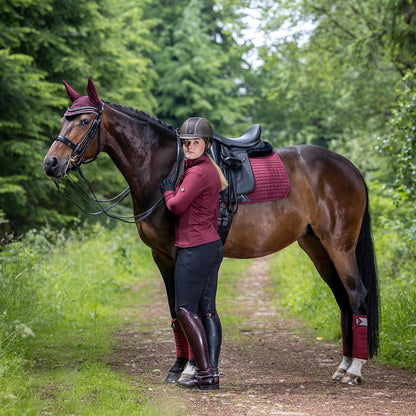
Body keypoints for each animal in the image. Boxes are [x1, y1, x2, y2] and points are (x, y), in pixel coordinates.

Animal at [44, 79, 378, 386]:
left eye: (84, 121)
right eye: (63, 120)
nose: (51, 163)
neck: (169, 166)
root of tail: (348, 167)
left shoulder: (180, 253)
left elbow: (188, 308)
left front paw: (191, 370)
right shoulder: (161, 256)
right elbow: (176, 313)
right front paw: (178, 368)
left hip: (339, 246)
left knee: (357, 296)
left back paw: (354, 370)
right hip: (317, 247)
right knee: (343, 300)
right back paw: (343, 366)